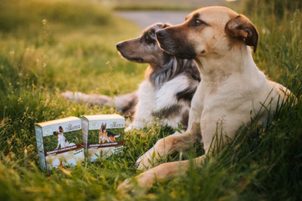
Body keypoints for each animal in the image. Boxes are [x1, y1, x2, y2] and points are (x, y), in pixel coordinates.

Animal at [117, 6, 292, 193]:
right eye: (186, 19)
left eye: (197, 22)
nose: (158, 34)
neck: (212, 84)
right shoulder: (191, 133)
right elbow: (166, 140)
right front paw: (147, 158)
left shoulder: (214, 157)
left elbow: (169, 166)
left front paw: (136, 182)